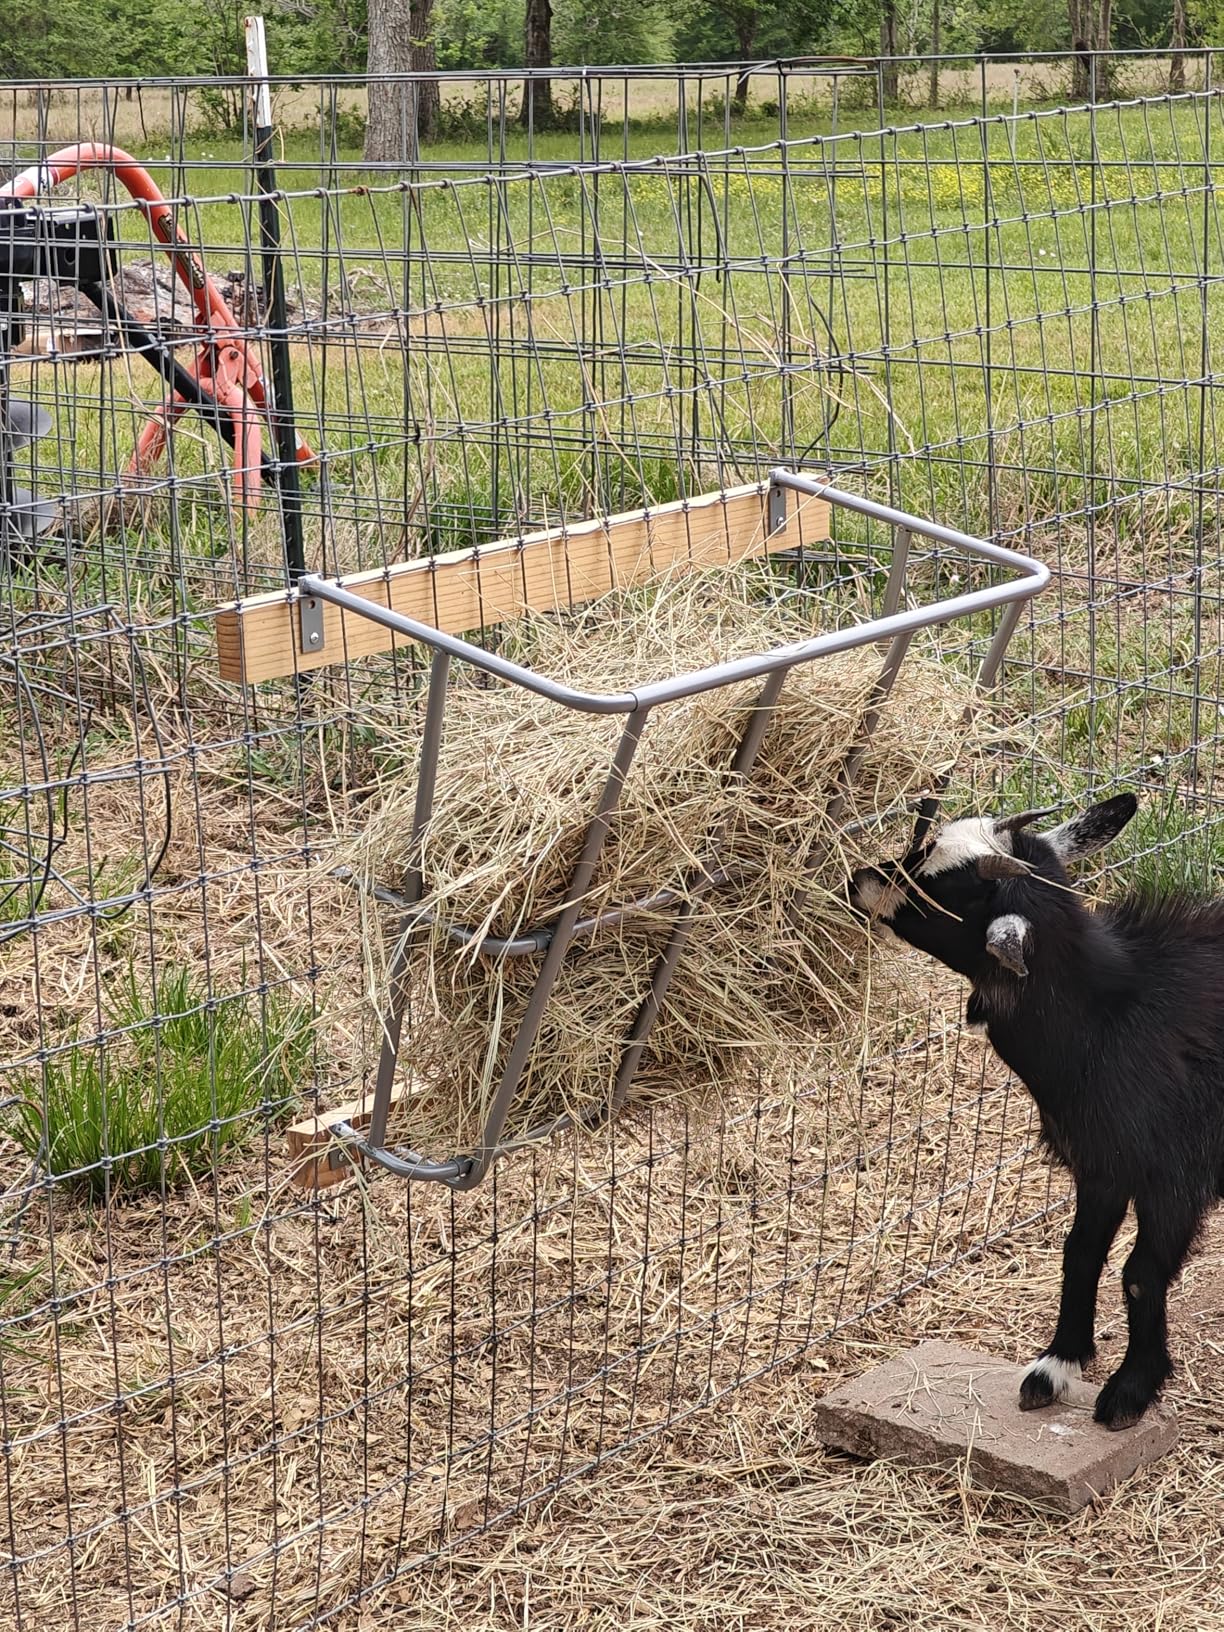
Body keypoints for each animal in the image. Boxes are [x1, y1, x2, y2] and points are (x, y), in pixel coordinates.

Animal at [849, 791, 1224, 1430]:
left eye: (939, 890)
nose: (858, 881)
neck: (1110, 1018)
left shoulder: (1175, 1179)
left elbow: (1140, 1276)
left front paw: (1130, 1389)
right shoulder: (1101, 1166)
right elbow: (1080, 1255)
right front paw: (1057, 1365)